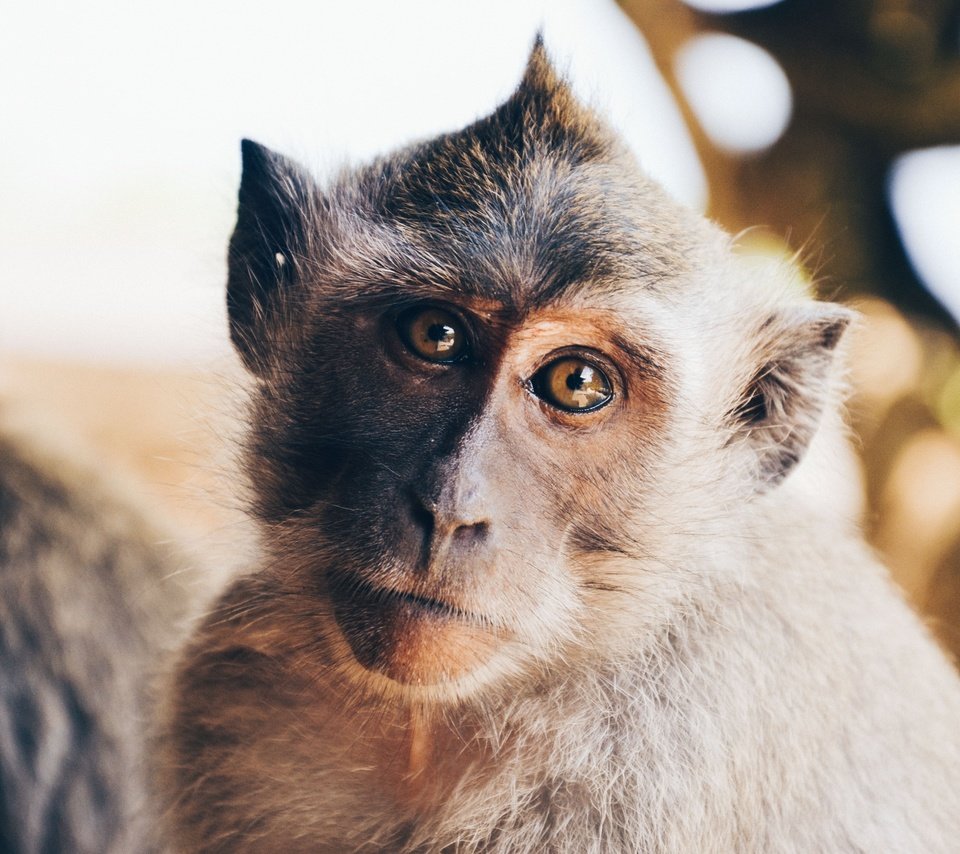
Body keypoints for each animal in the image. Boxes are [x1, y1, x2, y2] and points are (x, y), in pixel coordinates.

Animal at [158, 41, 960, 854]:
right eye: (435, 335)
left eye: (577, 383)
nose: (451, 509)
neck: (430, 726)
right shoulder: (232, 694)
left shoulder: (653, 756)